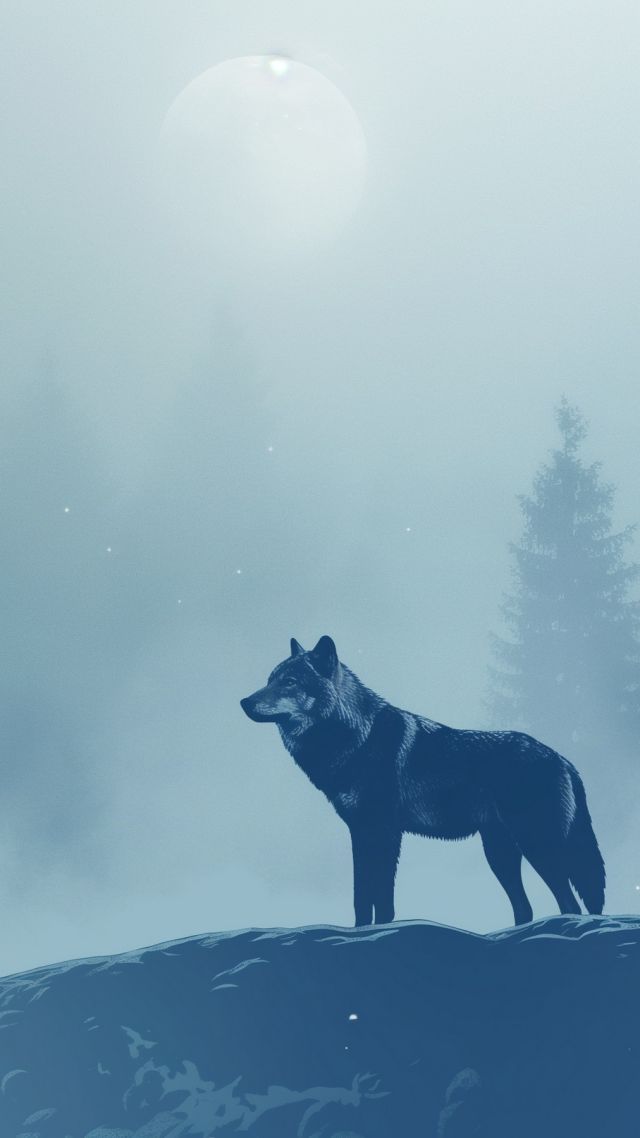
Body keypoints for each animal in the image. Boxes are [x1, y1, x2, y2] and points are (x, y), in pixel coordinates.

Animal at [240, 636, 605, 926]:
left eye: (289, 682)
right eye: (269, 679)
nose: (244, 702)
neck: (356, 738)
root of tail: (564, 760)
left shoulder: (385, 832)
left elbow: (382, 900)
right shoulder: (360, 832)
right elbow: (361, 898)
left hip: (537, 845)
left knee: (569, 904)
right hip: (500, 852)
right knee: (525, 908)